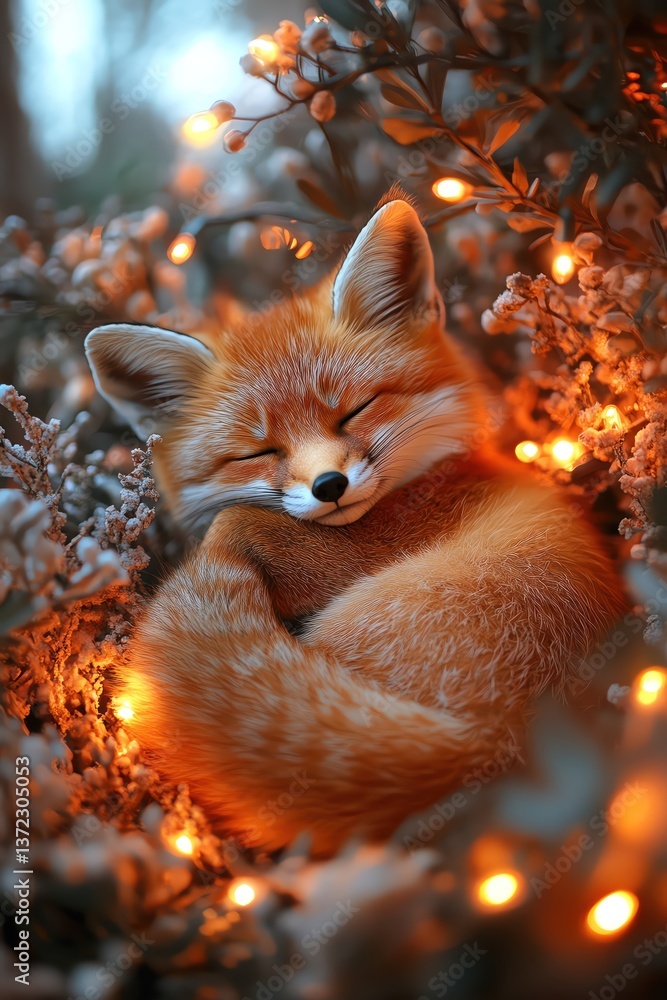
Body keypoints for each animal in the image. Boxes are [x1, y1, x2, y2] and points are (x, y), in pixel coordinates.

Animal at [85, 197, 625, 856]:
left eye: (355, 411)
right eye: (257, 452)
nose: (329, 486)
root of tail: (503, 742)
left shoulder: (342, 556)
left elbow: (241, 522)